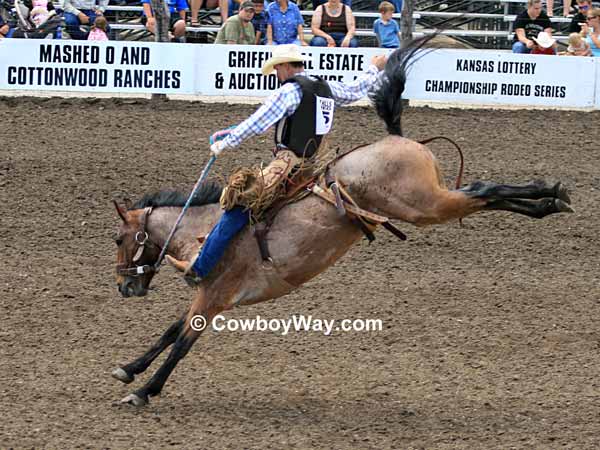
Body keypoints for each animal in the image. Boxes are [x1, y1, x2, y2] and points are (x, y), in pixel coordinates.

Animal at [111, 37, 572, 408]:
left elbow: (180, 344)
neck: (202, 232)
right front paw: (129, 369)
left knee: (481, 189)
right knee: (482, 196)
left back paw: (551, 193)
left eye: (118, 239)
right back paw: (550, 201)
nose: (123, 287)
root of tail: (396, 138)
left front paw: (143, 391)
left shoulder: (215, 296)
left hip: (425, 205)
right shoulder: (207, 296)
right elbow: (169, 331)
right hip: (430, 203)